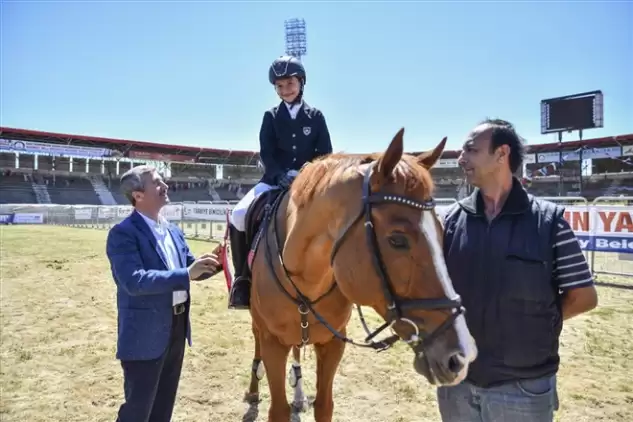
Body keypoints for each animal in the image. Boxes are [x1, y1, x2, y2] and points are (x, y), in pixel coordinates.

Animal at [218, 129, 474, 422]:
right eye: (397, 240)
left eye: (442, 232)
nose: (461, 357)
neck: (308, 279)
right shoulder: (274, 343)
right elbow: (278, 408)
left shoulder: (332, 344)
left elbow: (324, 405)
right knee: (257, 342)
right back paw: (253, 389)